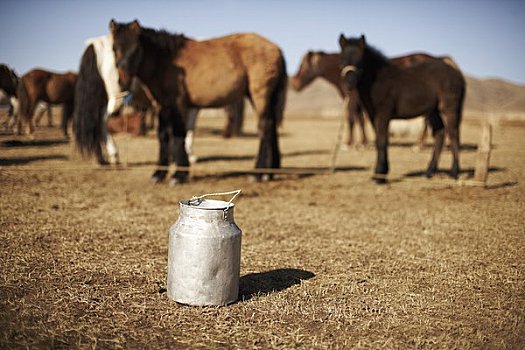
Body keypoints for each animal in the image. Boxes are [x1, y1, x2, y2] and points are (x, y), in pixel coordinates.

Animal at [108, 19, 284, 185]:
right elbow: (163, 136)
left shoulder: (179, 104)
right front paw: (158, 174)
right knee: (271, 127)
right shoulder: (162, 106)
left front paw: (179, 175)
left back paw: (257, 174)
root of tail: (276, 48)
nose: (123, 82)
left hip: (259, 95)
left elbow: (179, 134)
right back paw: (269, 173)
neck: (167, 61)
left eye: (135, 49)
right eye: (114, 48)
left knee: (264, 128)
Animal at [338, 34, 464, 183]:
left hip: (449, 108)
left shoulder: (383, 114)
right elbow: (379, 139)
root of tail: (456, 73)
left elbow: (382, 141)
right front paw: (381, 173)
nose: (349, 84)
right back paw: (429, 172)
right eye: (342, 59)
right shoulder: (373, 115)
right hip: (433, 111)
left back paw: (454, 173)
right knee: (440, 134)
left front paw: (379, 176)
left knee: (453, 134)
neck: (377, 80)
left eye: (360, 60)